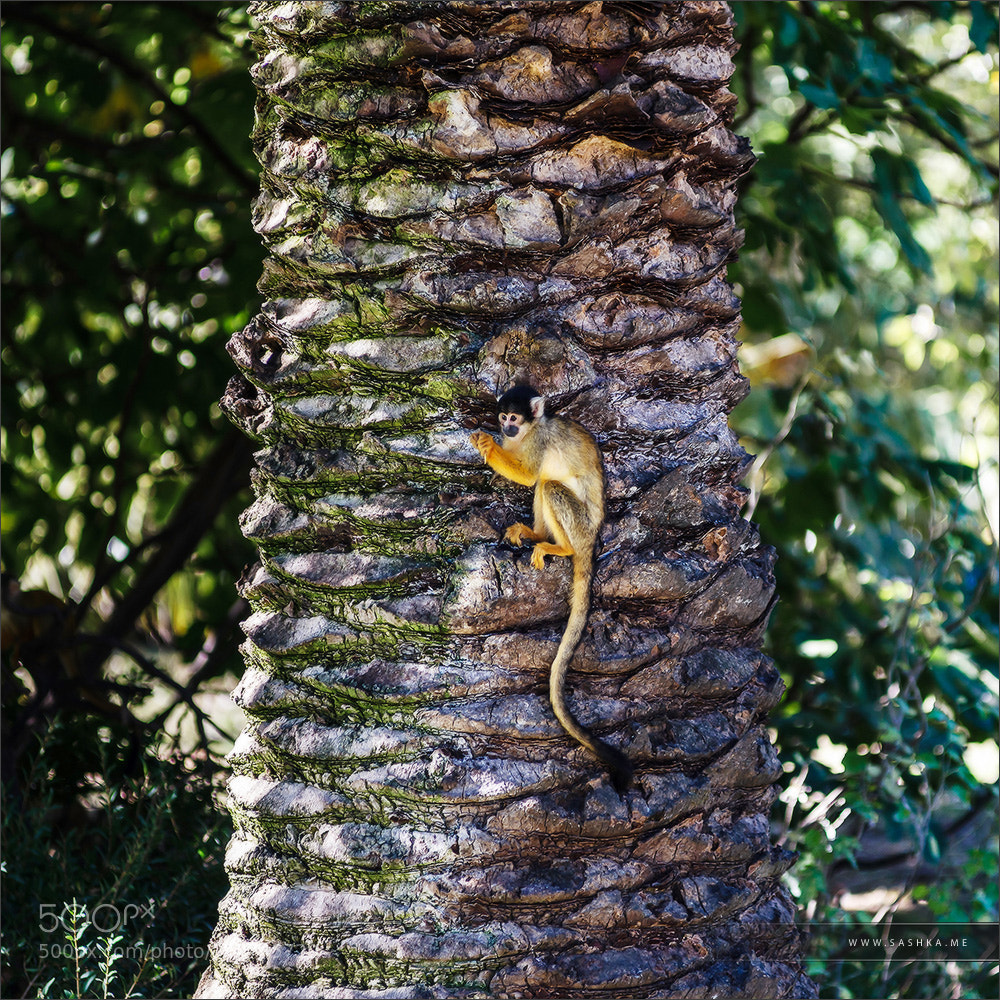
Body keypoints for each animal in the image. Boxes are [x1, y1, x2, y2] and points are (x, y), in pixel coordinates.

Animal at [470, 385, 633, 792]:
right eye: (503, 417)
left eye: (515, 418)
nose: (505, 429)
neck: (529, 432)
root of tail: (592, 539)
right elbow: (530, 477)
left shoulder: (539, 441)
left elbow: (529, 475)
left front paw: (487, 445)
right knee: (546, 486)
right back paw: (535, 534)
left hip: (580, 525)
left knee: (549, 485)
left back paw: (562, 549)